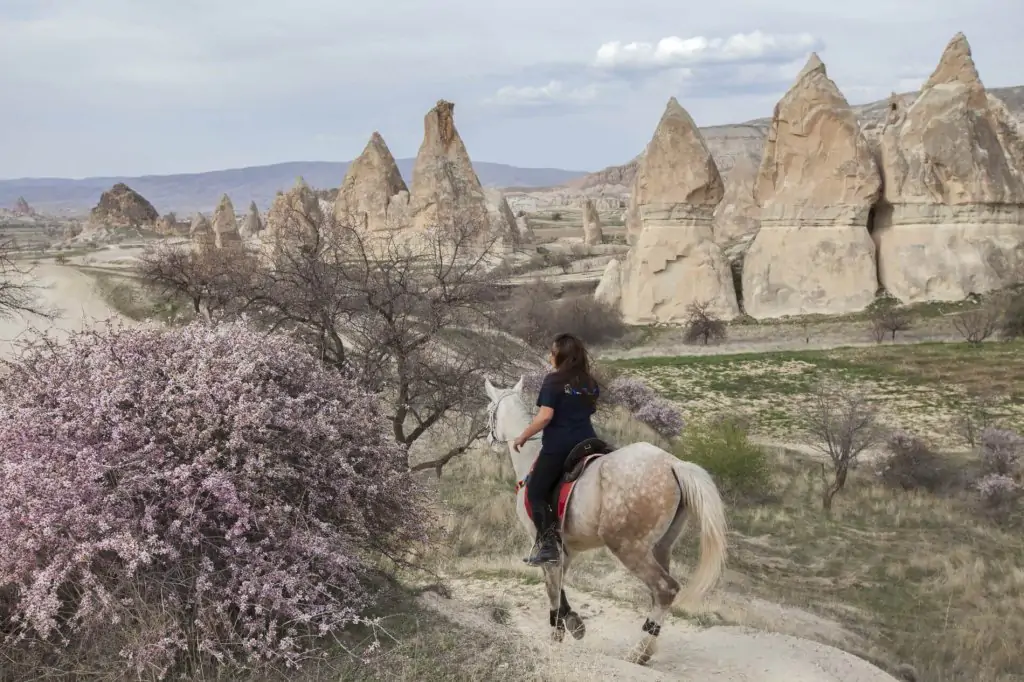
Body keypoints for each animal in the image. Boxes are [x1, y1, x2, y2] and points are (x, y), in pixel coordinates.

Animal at [485, 374, 729, 659]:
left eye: (489, 410)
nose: (489, 440)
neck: (531, 459)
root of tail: (673, 464)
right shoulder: (566, 549)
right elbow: (560, 583)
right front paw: (572, 623)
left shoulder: (544, 545)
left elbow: (552, 587)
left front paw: (559, 630)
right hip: (659, 547)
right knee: (658, 594)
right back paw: (647, 644)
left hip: (628, 547)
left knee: (665, 589)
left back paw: (639, 652)